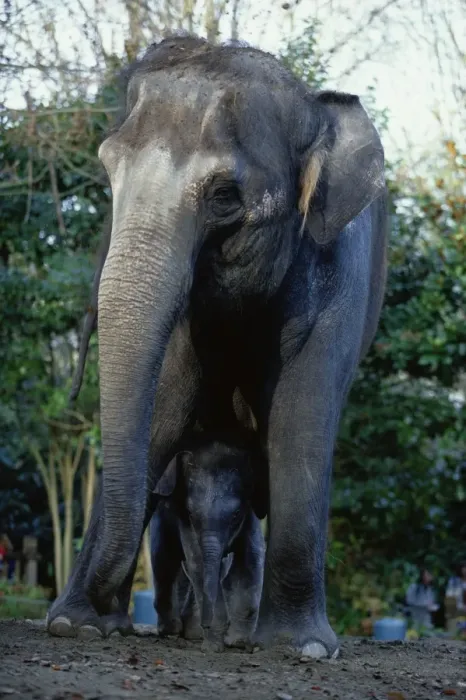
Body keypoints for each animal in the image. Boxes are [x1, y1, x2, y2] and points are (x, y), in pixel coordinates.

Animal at [150, 436, 266, 651]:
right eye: (190, 513)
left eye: (236, 514)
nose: (207, 623)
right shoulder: (182, 521)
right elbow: (197, 560)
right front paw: (213, 644)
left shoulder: (250, 519)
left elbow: (252, 557)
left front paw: (237, 642)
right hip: (161, 519)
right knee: (164, 561)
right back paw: (172, 631)